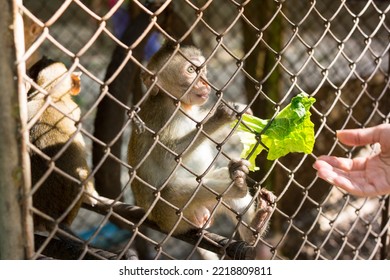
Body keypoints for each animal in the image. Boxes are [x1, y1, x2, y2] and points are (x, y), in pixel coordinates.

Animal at [127, 43, 274, 247]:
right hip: (169, 216)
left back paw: (255, 225)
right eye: (191, 70)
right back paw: (237, 189)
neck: (179, 104)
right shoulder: (161, 115)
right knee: (172, 192)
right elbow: (167, 158)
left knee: (222, 175)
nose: (205, 83)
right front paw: (221, 116)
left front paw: (239, 112)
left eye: (202, 70)